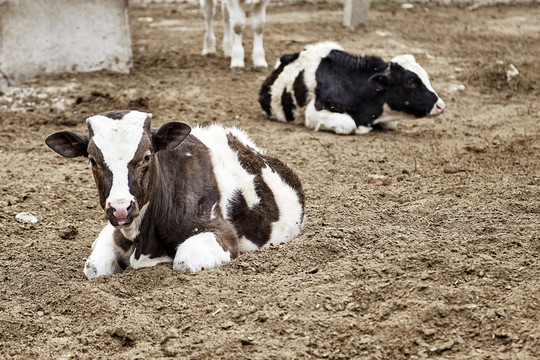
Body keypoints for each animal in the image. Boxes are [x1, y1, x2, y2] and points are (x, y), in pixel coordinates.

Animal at [45, 111, 304, 280]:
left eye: (147, 156)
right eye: (92, 160)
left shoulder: (223, 233)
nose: (119, 208)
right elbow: (94, 268)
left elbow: (184, 260)